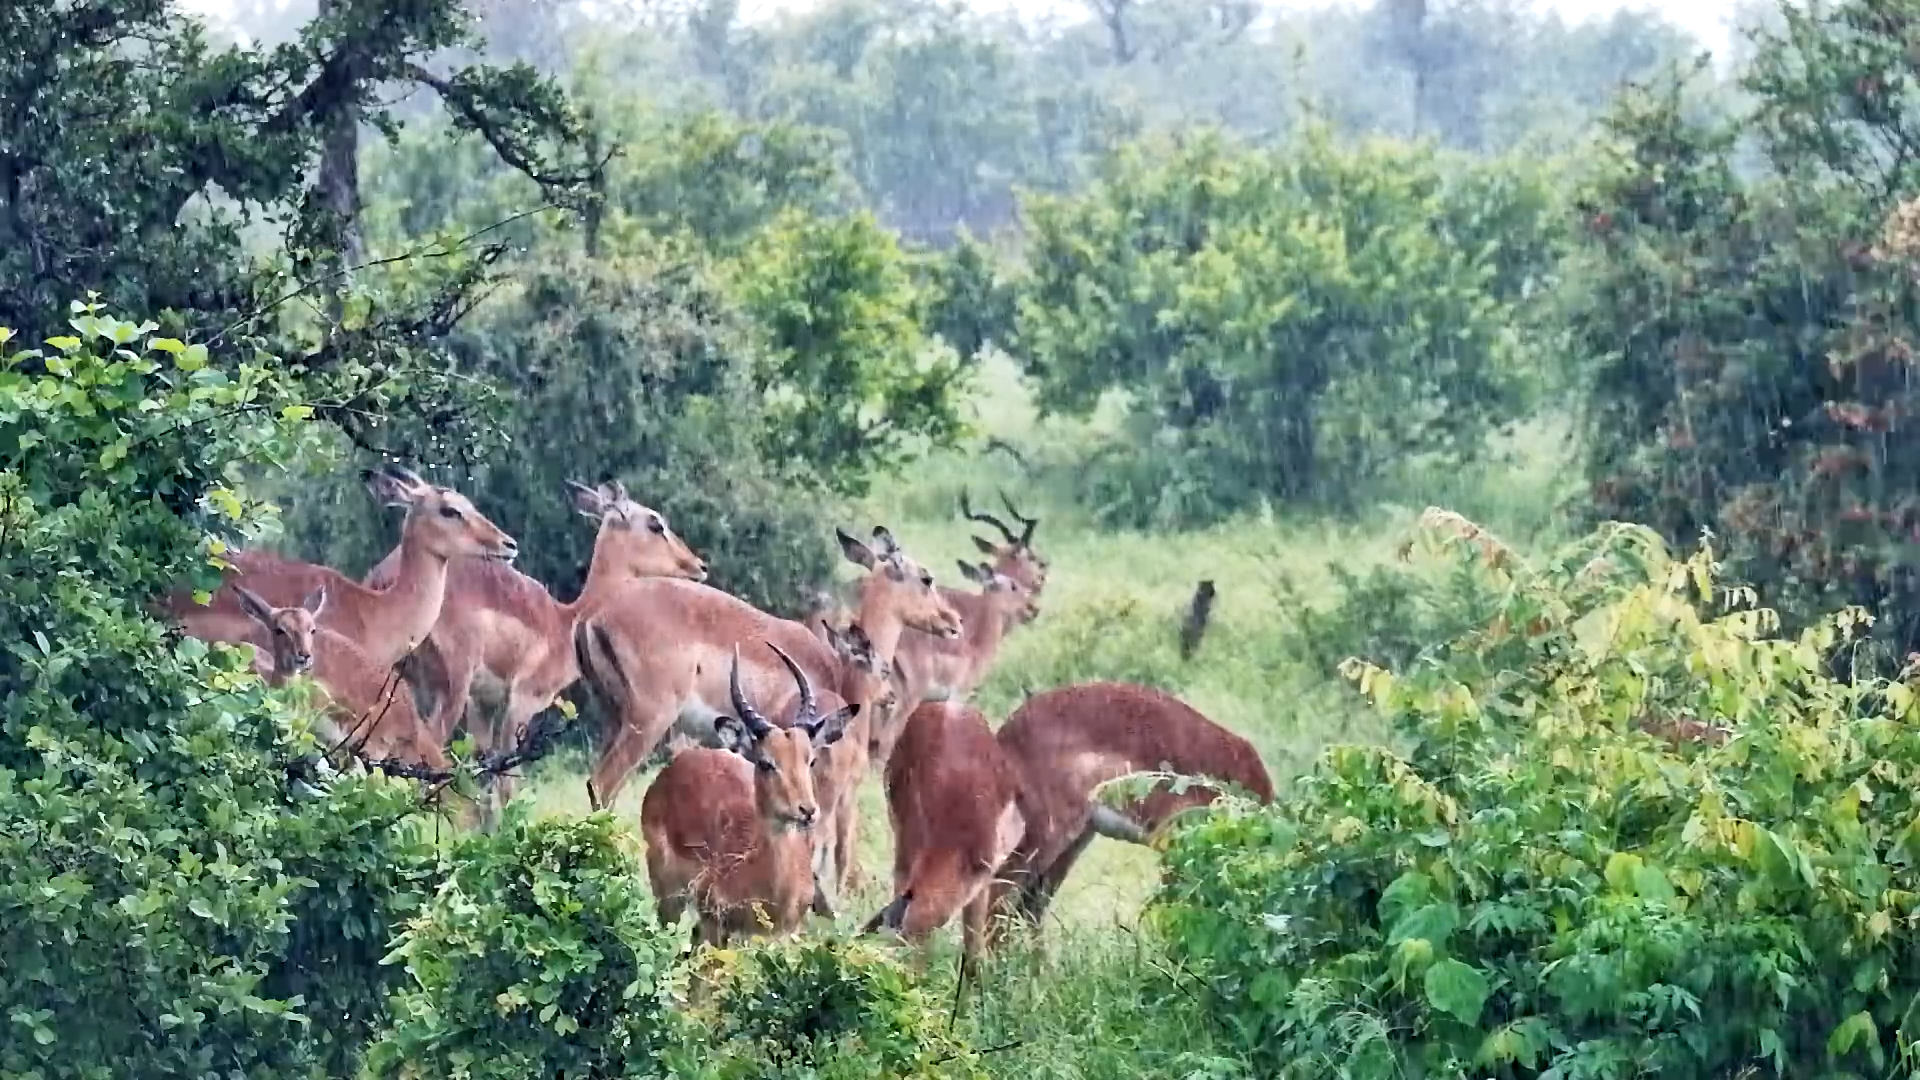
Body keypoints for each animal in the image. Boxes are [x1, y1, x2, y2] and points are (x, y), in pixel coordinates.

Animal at [364, 480, 706, 821]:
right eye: (654, 523)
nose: (698, 566)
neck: (564, 621)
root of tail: (382, 578)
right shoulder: (522, 701)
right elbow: (507, 779)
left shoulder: (483, 703)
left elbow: (485, 776)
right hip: (449, 687)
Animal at [571, 525, 961, 813]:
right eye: (926, 578)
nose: (953, 621)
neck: (837, 668)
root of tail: (594, 617)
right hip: (648, 722)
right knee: (604, 785)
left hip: (614, 720)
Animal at [640, 648, 855, 947]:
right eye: (765, 762)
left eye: (810, 760)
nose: (808, 811)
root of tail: (674, 769)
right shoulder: (716, 924)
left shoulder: (786, 934)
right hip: (669, 896)